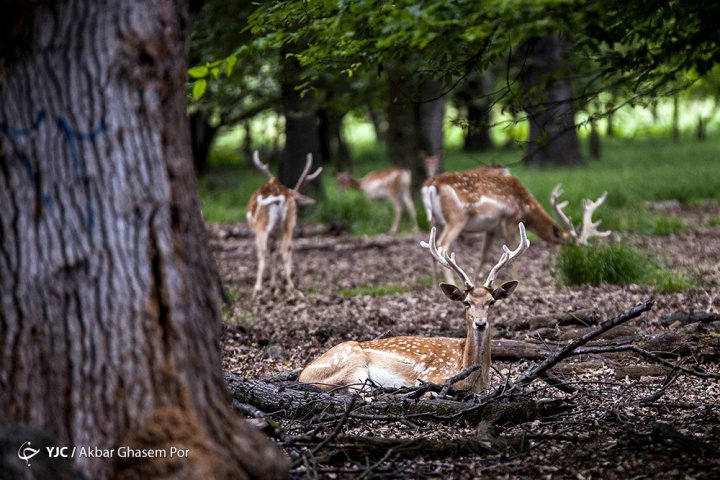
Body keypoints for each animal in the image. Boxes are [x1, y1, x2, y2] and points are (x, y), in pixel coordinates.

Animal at [246, 152, 322, 296]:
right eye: (297, 203)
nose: (298, 212)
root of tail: (280, 195)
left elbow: (270, 252)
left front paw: (272, 285)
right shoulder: (276, 232)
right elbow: (273, 252)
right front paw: (274, 285)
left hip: (264, 226)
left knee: (266, 251)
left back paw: (260, 288)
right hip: (287, 224)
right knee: (285, 248)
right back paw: (289, 286)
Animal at [298, 221, 528, 394]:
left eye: (492, 301)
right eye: (466, 302)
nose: (480, 323)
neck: (474, 379)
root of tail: (302, 376)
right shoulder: (430, 377)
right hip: (352, 362)